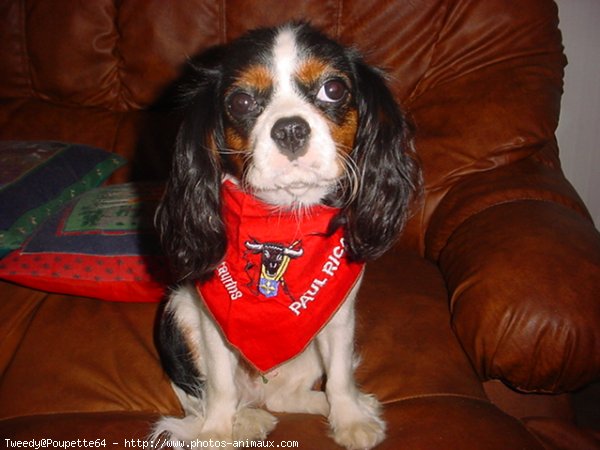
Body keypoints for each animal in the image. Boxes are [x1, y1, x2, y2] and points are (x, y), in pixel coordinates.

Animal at [152, 22, 420, 450]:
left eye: (334, 89)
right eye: (242, 101)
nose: (290, 128)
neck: (284, 215)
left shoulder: (338, 316)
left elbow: (340, 374)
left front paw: (350, 420)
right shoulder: (210, 324)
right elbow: (220, 387)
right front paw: (216, 432)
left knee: (284, 396)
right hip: (178, 313)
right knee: (210, 398)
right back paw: (244, 420)